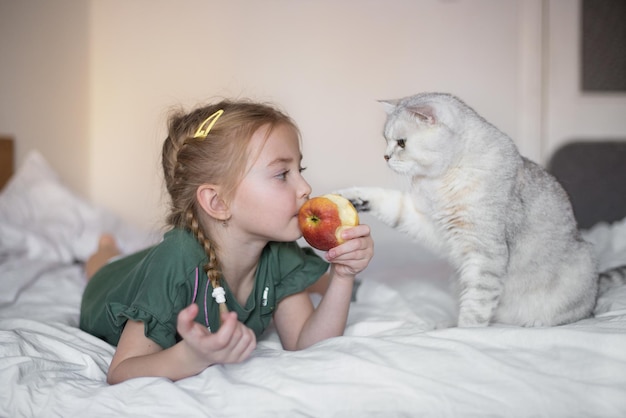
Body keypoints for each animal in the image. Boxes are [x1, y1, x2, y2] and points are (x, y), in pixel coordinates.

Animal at [336, 93, 620, 328]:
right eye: (385, 141)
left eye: (402, 143)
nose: (385, 157)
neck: (440, 181)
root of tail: (597, 285)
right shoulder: (431, 225)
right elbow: (391, 203)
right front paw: (352, 197)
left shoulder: (485, 251)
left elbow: (476, 306)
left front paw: (464, 332)